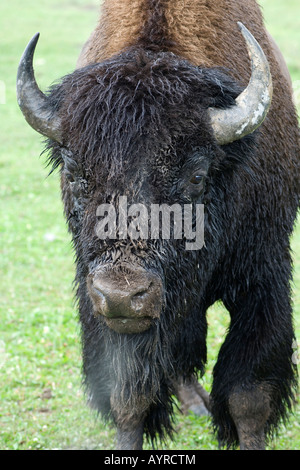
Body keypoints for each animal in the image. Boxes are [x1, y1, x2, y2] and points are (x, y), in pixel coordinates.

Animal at [17, 0, 298, 452]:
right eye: (74, 173)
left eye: (197, 176)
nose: (122, 294)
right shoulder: (108, 317)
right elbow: (130, 399)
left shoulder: (263, 278)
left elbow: (249, 397)